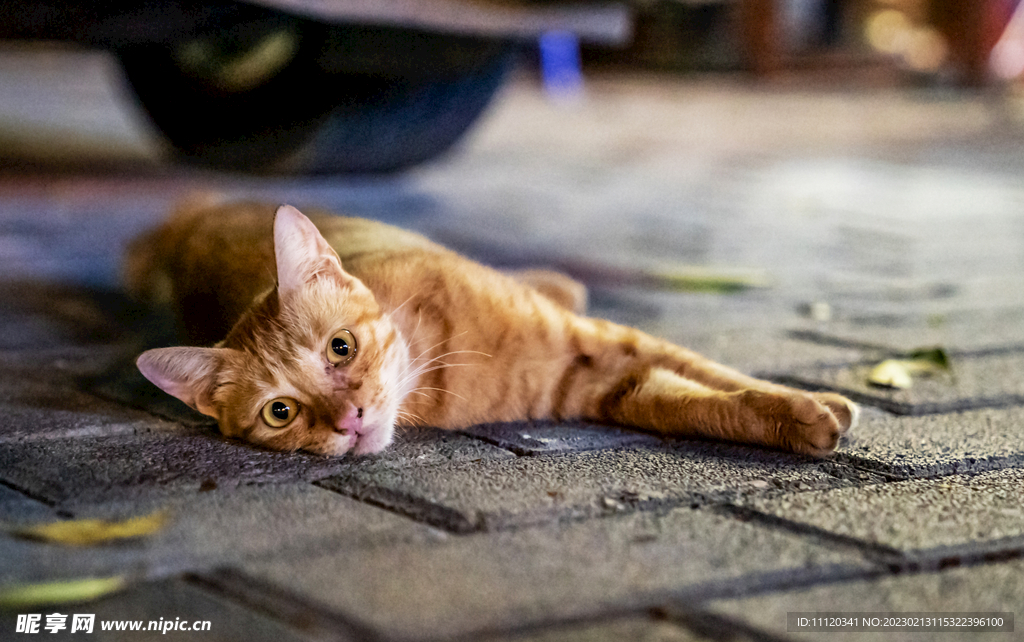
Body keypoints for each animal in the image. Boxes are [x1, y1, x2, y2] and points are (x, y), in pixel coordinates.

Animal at [125, 199, 856, 456]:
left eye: (341, 347)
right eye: (280, 412)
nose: (349, 419)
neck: (443, 358)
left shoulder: (602, 341)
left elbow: (713, 371)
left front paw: (814, 402)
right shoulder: (607, 389)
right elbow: (697, 404)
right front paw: (800, 420)